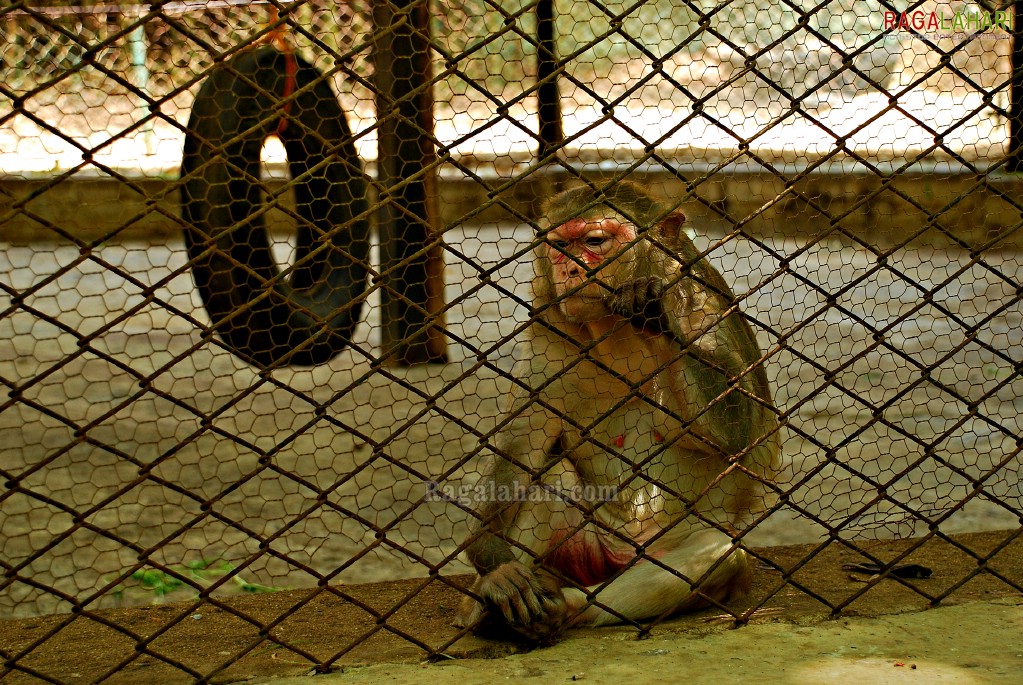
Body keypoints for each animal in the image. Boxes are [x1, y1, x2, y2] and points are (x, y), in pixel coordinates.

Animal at [452, 180, 777, 646]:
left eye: (593, 242)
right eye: (560, 247)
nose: (570, 271)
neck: (613, 332)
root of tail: (618, 556)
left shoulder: (702, 307)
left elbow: (737, 429)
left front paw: (650, 311)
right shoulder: (549, 339)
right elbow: (520, 452)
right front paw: (496, 565)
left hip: (652, 550)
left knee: (720, 552)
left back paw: (573, 607)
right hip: (583, 548)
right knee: (550, 478)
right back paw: (494, 607)